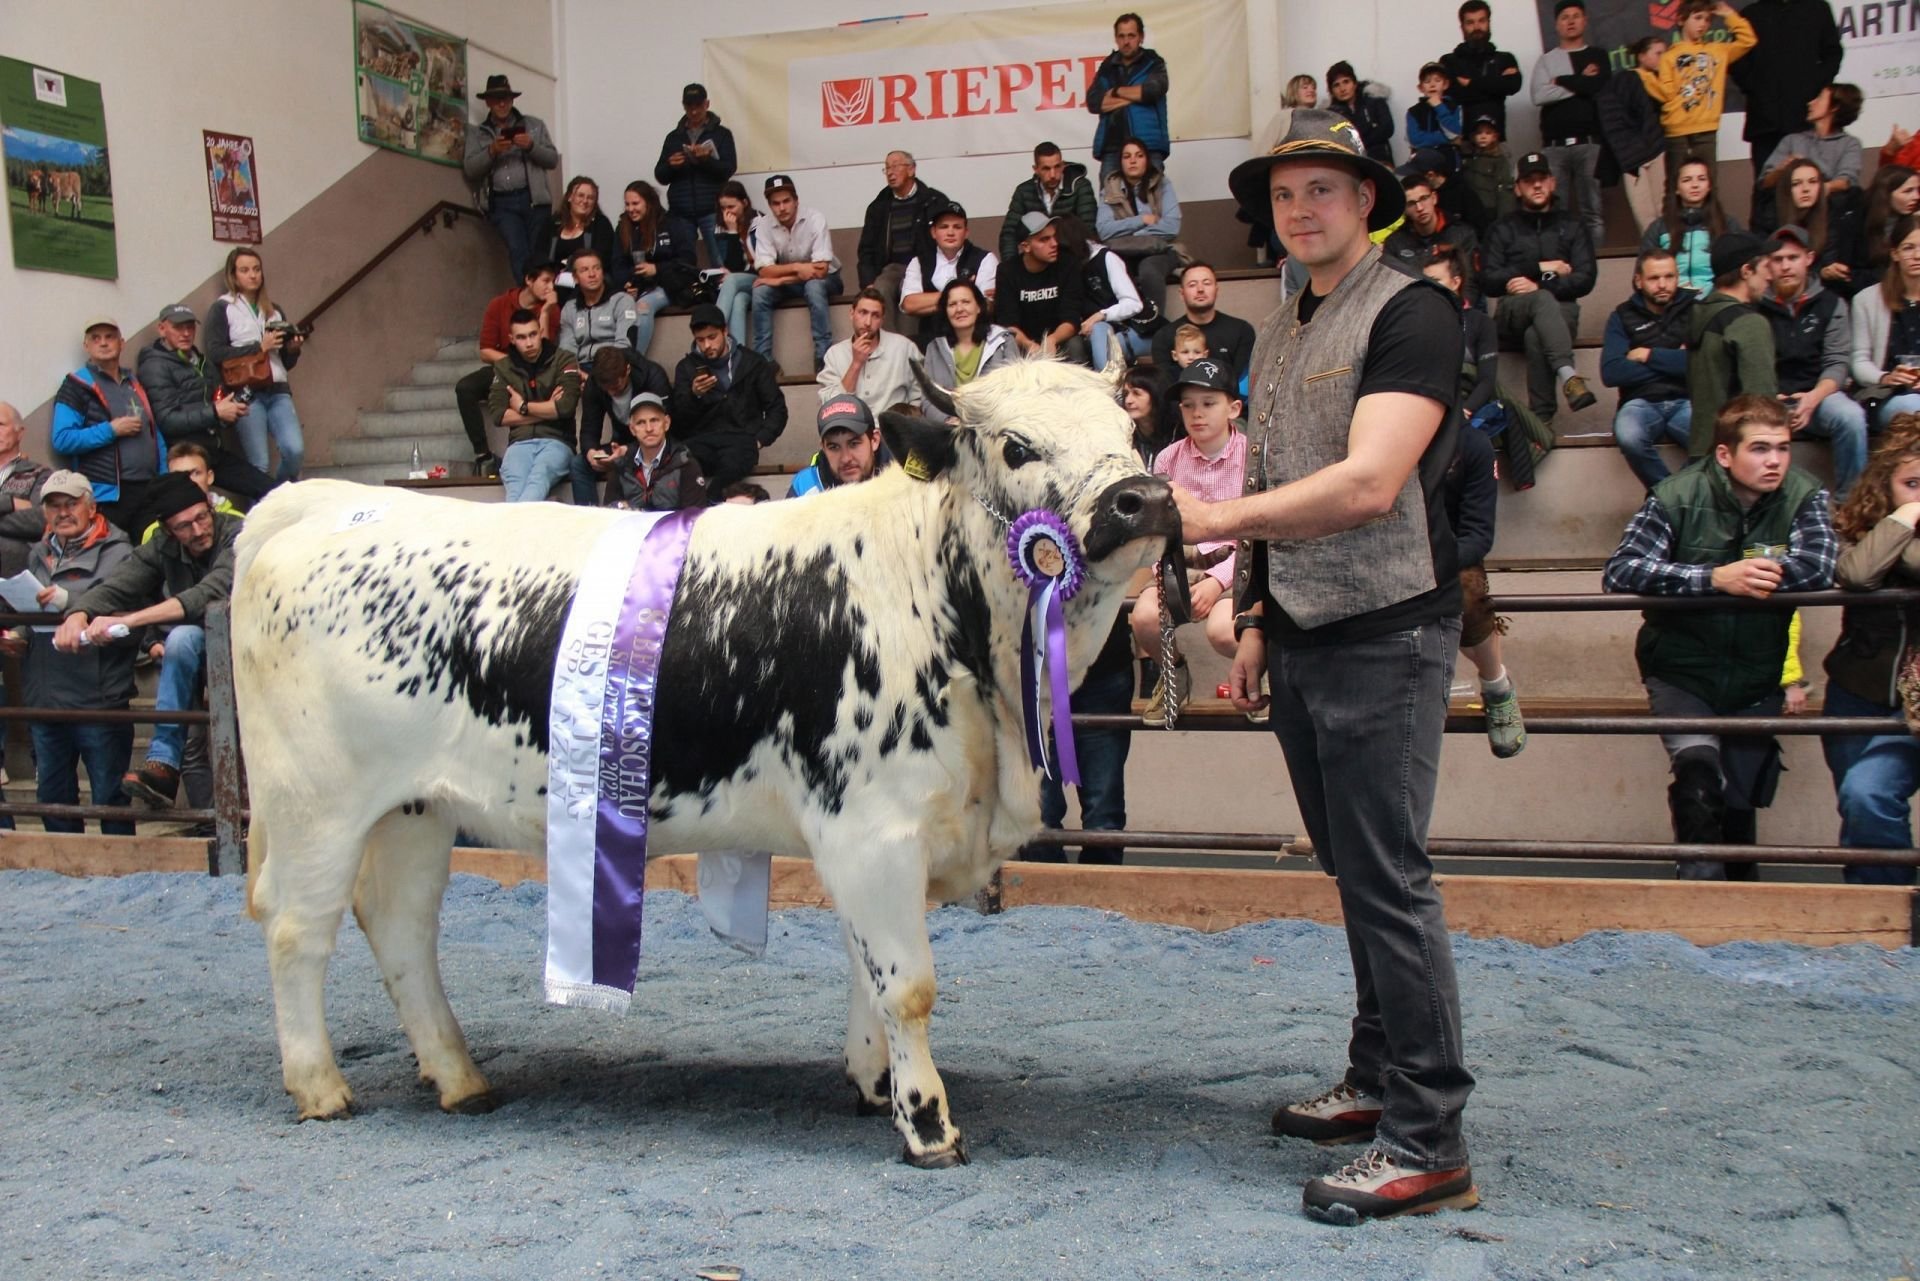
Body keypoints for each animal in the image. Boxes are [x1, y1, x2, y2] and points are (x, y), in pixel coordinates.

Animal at [232, 355, 1175, 1167]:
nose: (1143, 497)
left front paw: (872, 1084)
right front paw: (928, 1125)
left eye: (1130, 427)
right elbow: (906, 984)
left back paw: (461, 1078)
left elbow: (865, 972)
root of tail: (328, 499)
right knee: (298, 929)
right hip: (318, 804)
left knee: (400, 927)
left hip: (415, 808)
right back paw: (320, 1085)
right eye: (1016, 445)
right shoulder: (873, 827)